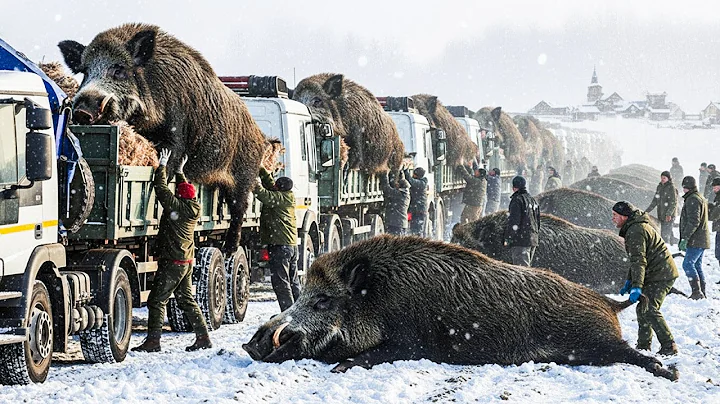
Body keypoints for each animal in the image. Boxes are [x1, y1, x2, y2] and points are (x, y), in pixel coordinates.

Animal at [58, 23, 266, 253]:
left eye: (119, 70)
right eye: (85, 72)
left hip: (245, 173)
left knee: (239, 207)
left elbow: (167, 173)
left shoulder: (176, 133)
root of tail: (260, 135)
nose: (82, 110)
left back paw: (230, 248)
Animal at [243, 235, 677, 381]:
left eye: (322, 299)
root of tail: (607, 303)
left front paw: (340, 368)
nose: (251, 342)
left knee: (632, 353)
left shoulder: (412, 343)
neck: (380, 298)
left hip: (596, 341)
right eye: (300, 294)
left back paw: (668, 373)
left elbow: (369, 355)